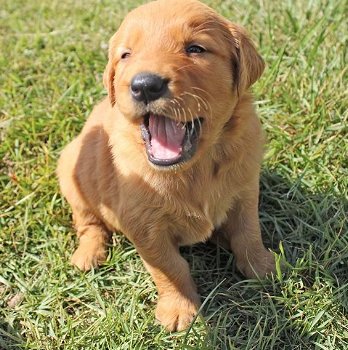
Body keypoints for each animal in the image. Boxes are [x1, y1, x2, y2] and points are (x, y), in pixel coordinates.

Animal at [57, 0, 274, 330]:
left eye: (195, 49)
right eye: (126, 54)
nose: (145, 85)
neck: (194, 168)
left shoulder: (246, 189)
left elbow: (248, 231)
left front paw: (261, 266)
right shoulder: (144, 225)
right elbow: (169, 267)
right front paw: (179, 309)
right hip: (71, 174)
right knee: (88, 221)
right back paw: (88, 253)